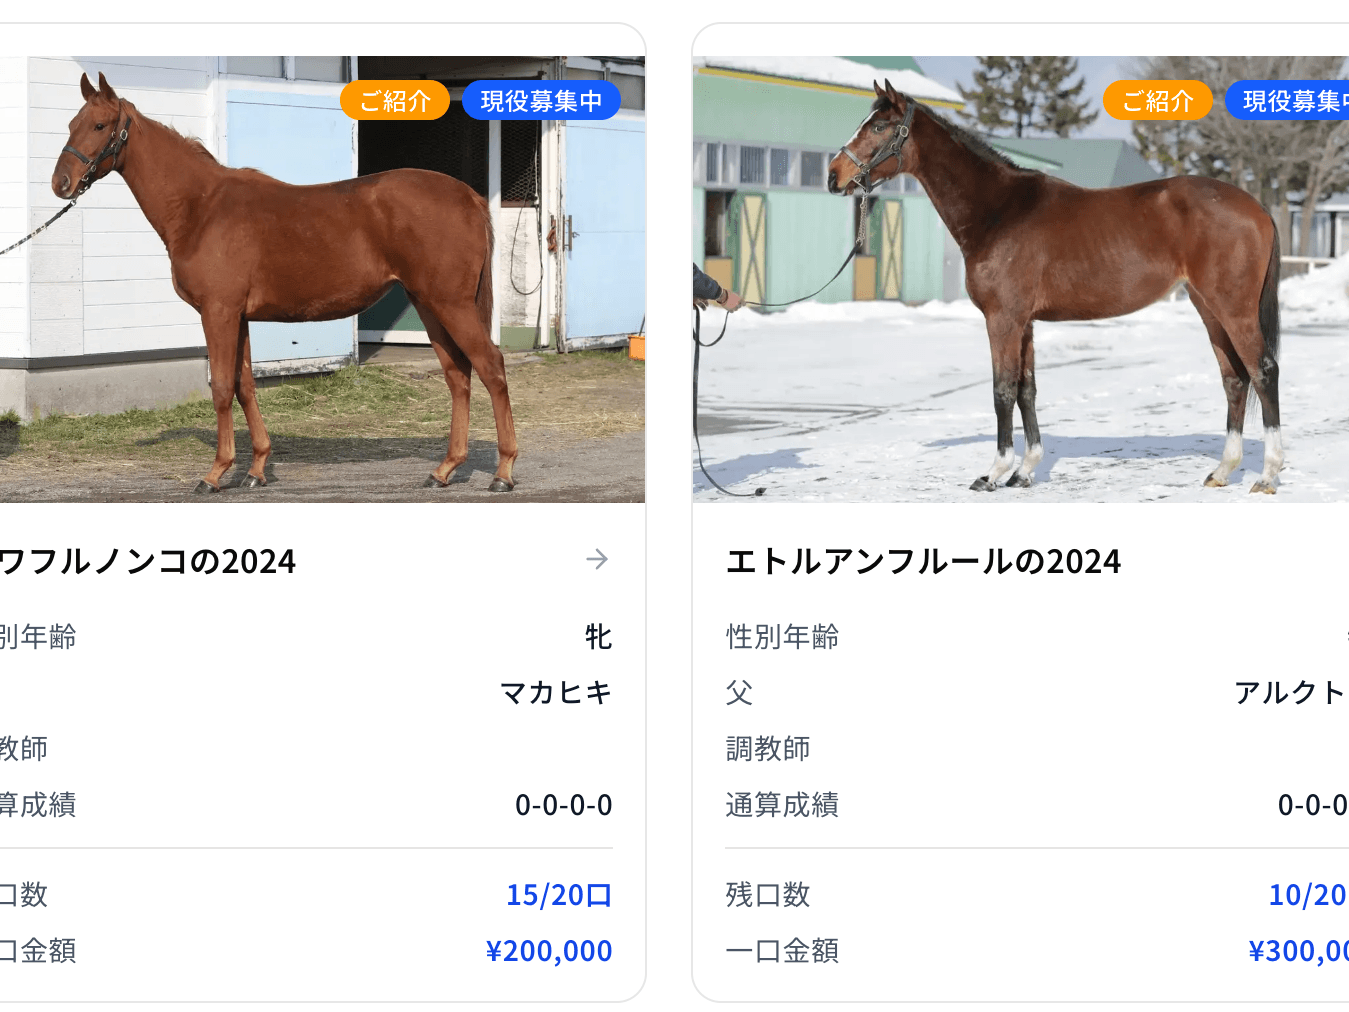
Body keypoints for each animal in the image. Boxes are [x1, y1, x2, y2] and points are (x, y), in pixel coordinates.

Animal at [52, 72, 517, 494]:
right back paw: (445, 469)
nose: (61, 183)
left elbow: (222, 388)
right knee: (458, 375)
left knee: (491, 367)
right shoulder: (237, 316)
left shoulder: (218, 312)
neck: (200, 207)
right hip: (428, 303)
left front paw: (215, 474)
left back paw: (503, 472)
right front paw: (256, 469)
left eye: (99, 126)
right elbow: (244, 386)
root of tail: (468, 196)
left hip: (450, 304)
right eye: (72, 123)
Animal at [828, 80, 1283, 494]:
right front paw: (1024, 472)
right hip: (1208, 307)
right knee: (1235, 379)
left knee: (1263, 371)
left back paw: (1268, 475)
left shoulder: (1003, 319)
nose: (834, 175)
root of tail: (1257, 207)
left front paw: (993, 473)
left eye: (880, 127)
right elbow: (1026, 390)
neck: (1000, 211)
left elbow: (1002, 390)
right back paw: (1222, 471)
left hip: (1233, 308)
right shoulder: (1025, 322)